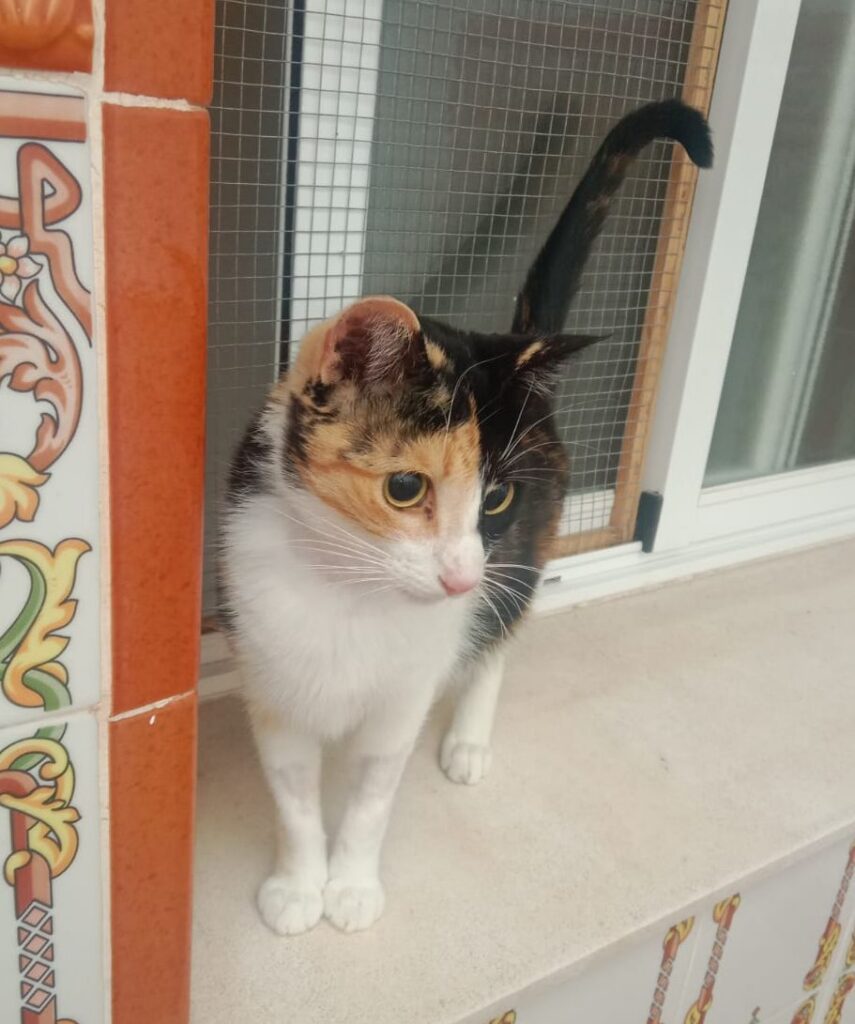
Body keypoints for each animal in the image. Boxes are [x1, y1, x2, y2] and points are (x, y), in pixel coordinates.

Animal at [219, 99, 712, 935]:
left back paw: (470, 737)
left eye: (495, 497)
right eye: (404, 488)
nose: (455, 578)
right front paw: (297, 885)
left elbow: (371, 797)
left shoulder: (407, 689)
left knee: (500, 629)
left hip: (522, 555)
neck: (348, 592)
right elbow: (293, 799)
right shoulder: (270, 676)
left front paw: (350, 887)